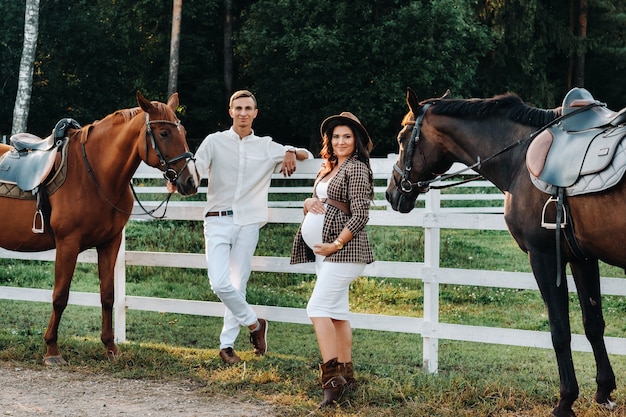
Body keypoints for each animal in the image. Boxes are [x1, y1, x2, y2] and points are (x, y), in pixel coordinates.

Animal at [0, 91, 197, 364]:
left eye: (184, 130)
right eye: (164, 133)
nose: (191, 181)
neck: (94, 174)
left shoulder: (110, 243)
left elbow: (107, 295)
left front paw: (110, 347)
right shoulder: (68, 244)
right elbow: (60, 296)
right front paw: (52, 350)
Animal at [382, 86, 620, 414]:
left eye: (401, 138)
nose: (391, 192)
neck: (521, 157)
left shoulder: (544, 256)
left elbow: (560, 331)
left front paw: (565, 400)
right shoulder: (582, 257)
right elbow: (593, 324)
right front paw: (604, 391)